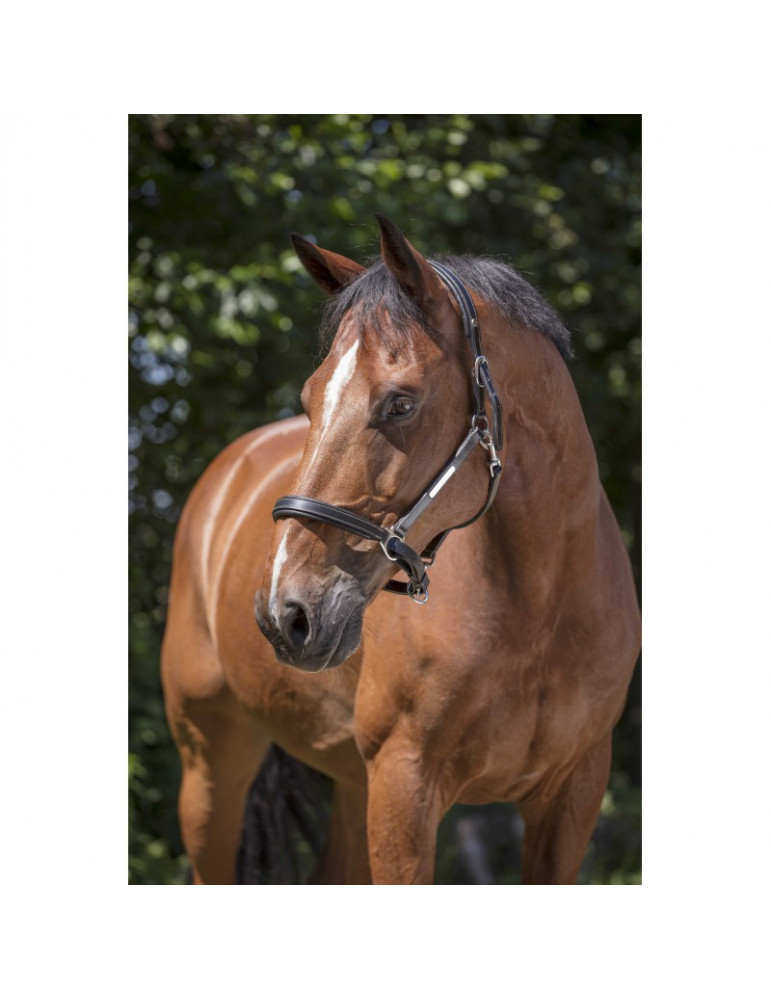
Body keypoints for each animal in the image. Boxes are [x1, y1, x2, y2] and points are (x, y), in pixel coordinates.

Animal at [161, 215, 641, 884]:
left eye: (401, 402)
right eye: (311, 400)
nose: (286, 614)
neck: (539, 613)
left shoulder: (571, 797)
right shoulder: (404, 787)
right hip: (211, 763)